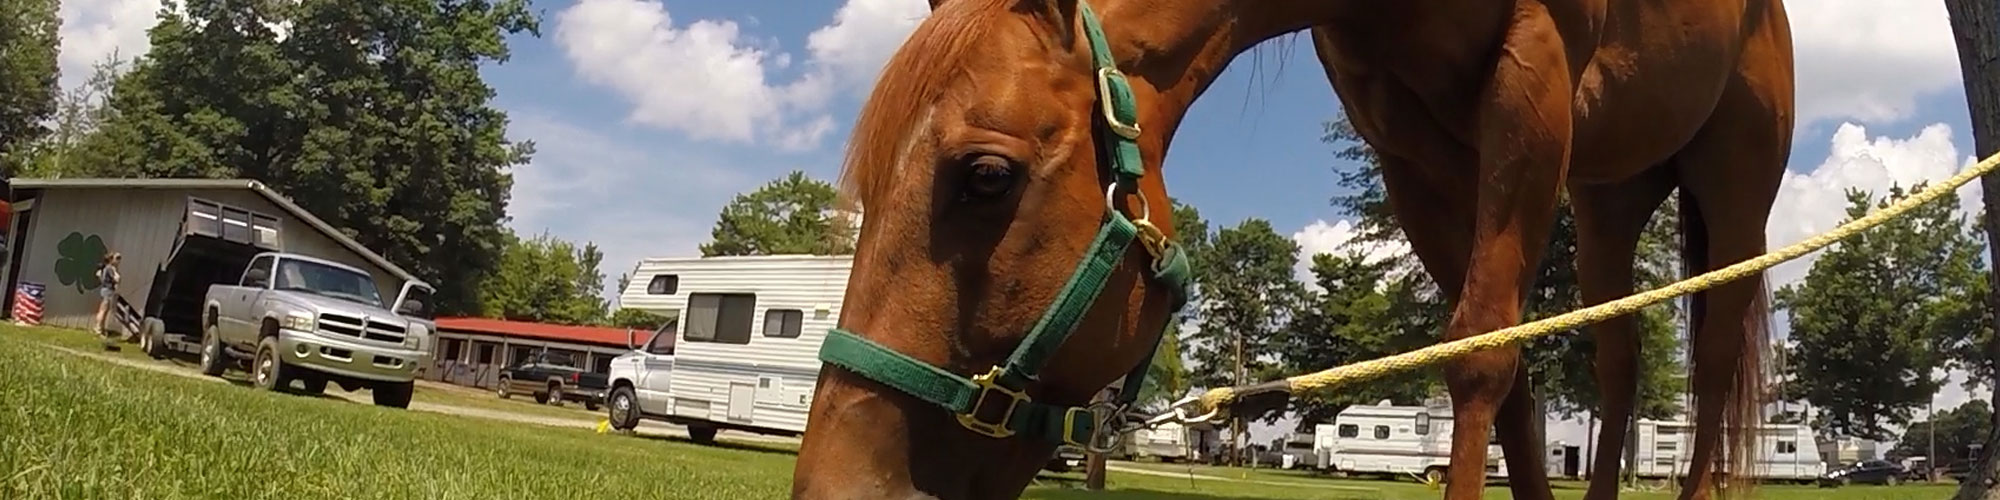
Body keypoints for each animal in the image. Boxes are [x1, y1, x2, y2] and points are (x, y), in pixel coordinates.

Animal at [796, 0, 1800, 498]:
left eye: (986, 175)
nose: (835, 486)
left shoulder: (1534, 78)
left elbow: (1481, 357)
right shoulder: (1414, 149)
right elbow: (1500, 364)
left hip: (1735, 176)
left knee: (1714, 360)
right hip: (1606, 197)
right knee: (1620, 356)